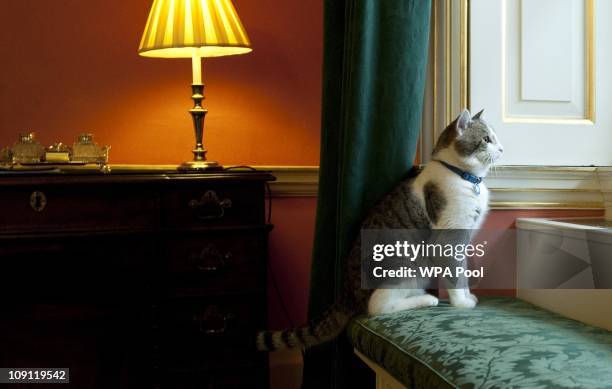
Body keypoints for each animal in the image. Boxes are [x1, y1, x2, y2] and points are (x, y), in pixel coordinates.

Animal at [256, 107, 504, 350]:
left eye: (495, 137)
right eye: (486, 139)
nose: (502, 148)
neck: (463, 176)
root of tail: (346, 294)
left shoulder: (463, 240)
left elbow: (463, 272)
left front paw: (468, 295)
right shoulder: (448, 238)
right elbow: (455, 275)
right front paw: (461, 303)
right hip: (403, 264)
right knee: (377, 307)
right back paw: (426, 300)